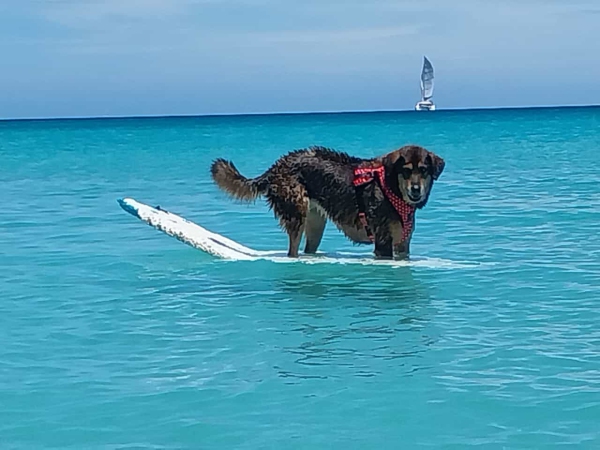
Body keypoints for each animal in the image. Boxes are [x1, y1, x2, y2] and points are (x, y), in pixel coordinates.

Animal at [209, 142, 442, 258]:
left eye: (424, 170)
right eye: (406, 171)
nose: (415, 191)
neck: (391, 188)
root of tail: (276, 167)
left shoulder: (403, 244)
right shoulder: (383, 242)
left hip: (315, 224)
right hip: (297, 213)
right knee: (293, 250)